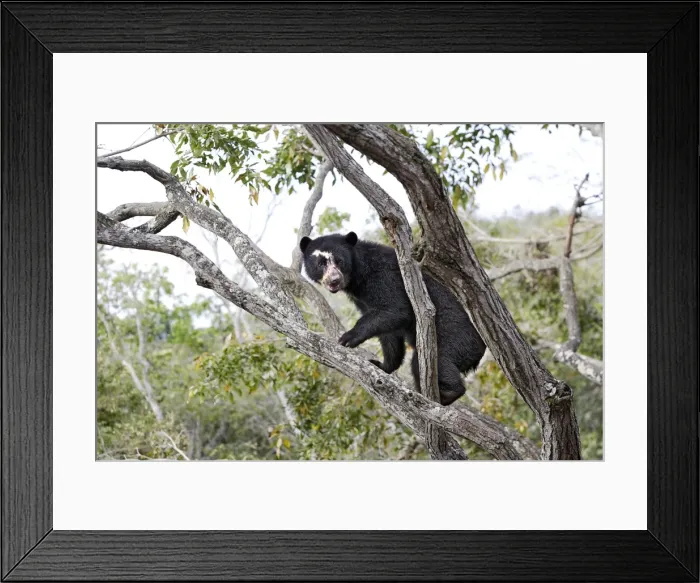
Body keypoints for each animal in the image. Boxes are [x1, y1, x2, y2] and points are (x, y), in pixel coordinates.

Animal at [299, 231, 486, 406]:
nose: (334, 280)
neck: (357, 277)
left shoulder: (384, 276)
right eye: (320, 264)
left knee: (433, 361)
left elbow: (396, 310)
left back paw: (448, 394)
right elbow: (389, 333)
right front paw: (382, 365)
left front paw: (347, 338)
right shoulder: (361, 299)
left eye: (339, 261)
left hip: (455, 337)